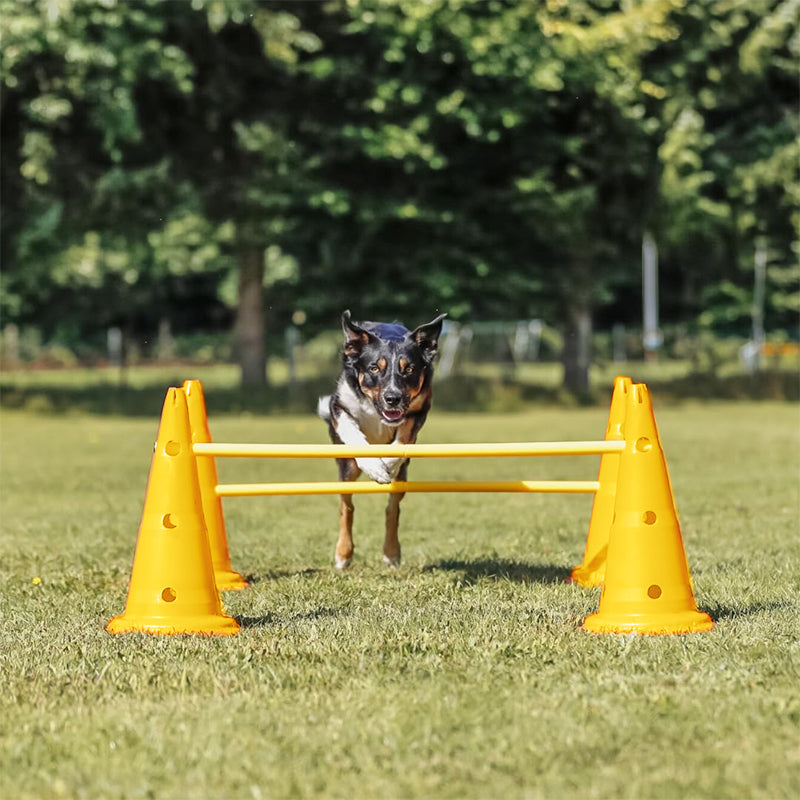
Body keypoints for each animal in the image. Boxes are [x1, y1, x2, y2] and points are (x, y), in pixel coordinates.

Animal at [318, 310, 444, 568]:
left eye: (409, 369)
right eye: (374, 368)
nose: (392, 398)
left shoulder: (420, 409)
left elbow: (403, 439)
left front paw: (386, 464)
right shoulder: (338, 404)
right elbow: (352, 432)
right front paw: (375, 467)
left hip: (403, 478)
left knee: (392, 508)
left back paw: (391, 552)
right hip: (346, 470)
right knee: (347, 506)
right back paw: (343, 554)